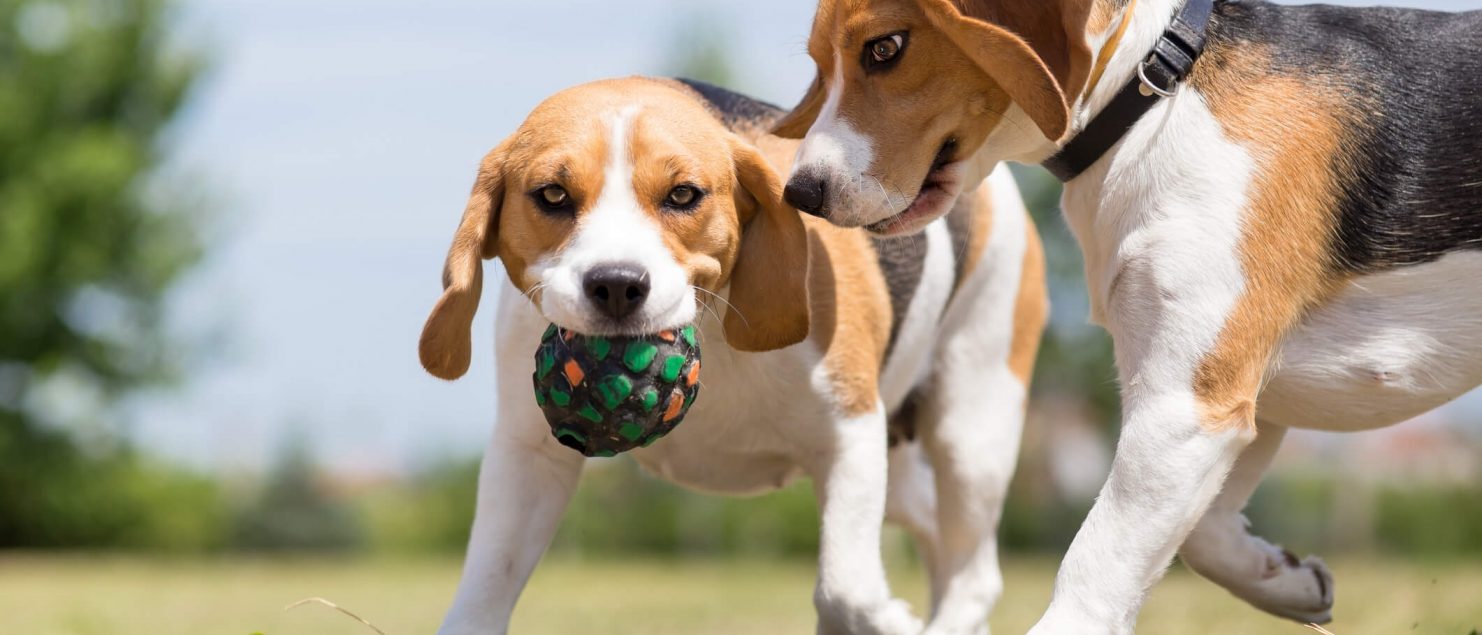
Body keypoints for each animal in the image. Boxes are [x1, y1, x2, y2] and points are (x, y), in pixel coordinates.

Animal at [411, 78, 1049, 635]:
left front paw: (890, 621)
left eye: (683, 195)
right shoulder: (529, 455)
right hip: (906, 479)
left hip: (972, 435)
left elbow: (844, 588)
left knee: (976, 575)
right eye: (552, 195)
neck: (709, 324)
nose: (616, 284)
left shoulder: (851, 432)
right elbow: (485, 589)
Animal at [776, 0, 1482, 632]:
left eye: (885, 49)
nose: (800, 193)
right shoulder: (1232, 391)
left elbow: (1095, 565)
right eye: (818, 64)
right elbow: (1204, 537)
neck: (1156, 96)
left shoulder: (1184, 406)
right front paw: (1283, 580)